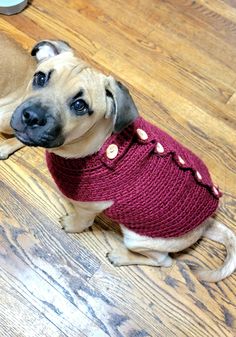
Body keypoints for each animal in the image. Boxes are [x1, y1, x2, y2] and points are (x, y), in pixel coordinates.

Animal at [10, 38, 235, 280]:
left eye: (80, 106)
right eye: (40, 78)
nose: (32, 117)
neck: (95, 145)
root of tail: (206, 223)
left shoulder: (89, 208)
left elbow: (81, 221)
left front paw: (72, 224)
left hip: (137, 238)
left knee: (163, 261)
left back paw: (121, 256)